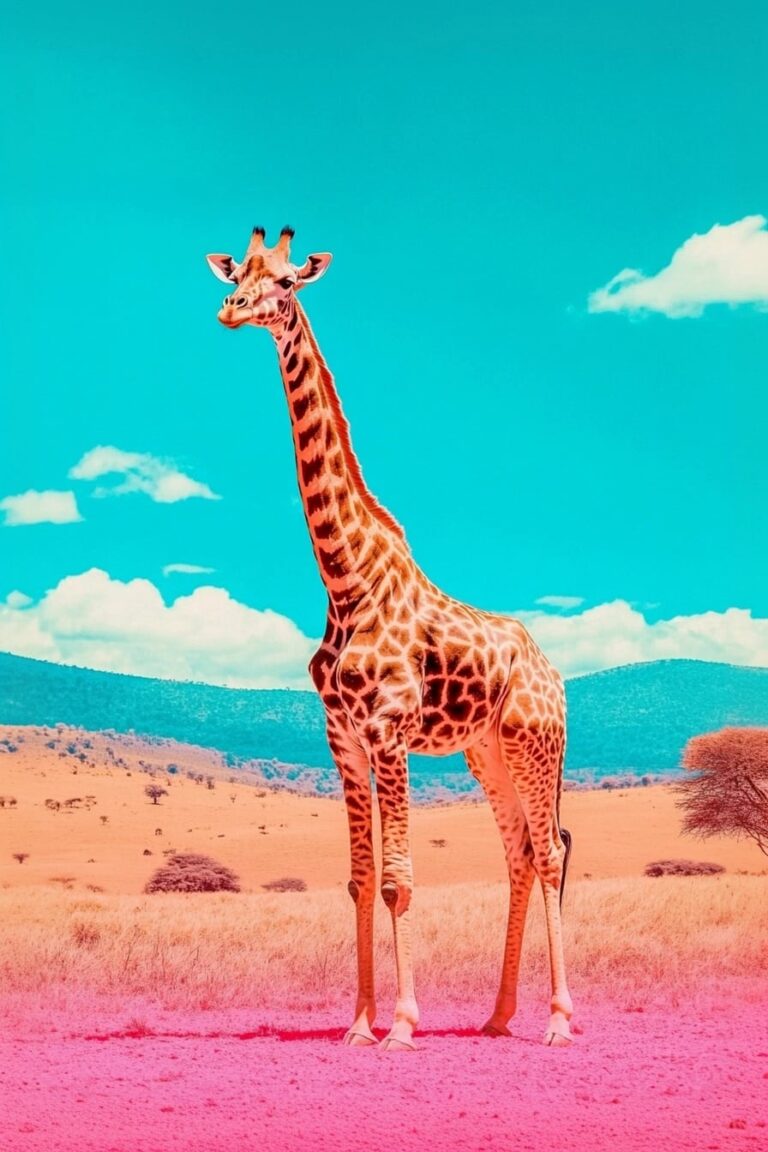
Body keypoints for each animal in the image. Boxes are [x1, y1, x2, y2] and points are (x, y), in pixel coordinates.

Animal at [207, 226, 574, 1052]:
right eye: (241, 270)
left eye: (287, 282)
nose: (230, 309)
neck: (345, 581)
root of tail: (555, 675)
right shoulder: (342, 737)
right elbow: (358, 880)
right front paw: (358, 1024)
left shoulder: (389, 731)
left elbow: (400, 879)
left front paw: (403, 1025)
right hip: (485, 750)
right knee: (520, 852)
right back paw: (497, 1016)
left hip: (534, 745)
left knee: (552, 851)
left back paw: (561, 1020)